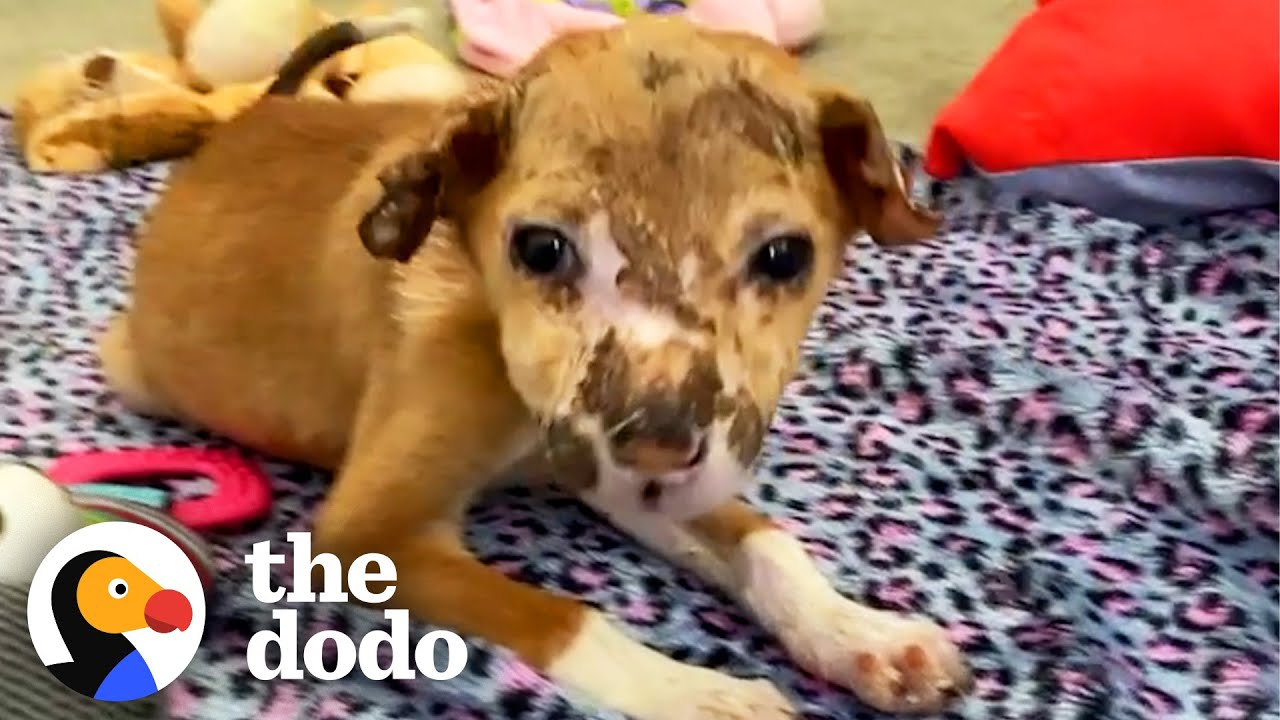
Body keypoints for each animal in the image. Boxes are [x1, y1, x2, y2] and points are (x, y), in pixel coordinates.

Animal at [102, 12, 967, 717]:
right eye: (541, 248)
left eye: (785, 257)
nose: (657, 446)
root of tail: (255, 113)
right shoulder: (365, 533)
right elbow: (561, 615)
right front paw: (697, 692)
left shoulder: (614, 467)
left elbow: (765, 542)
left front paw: (860, 633)